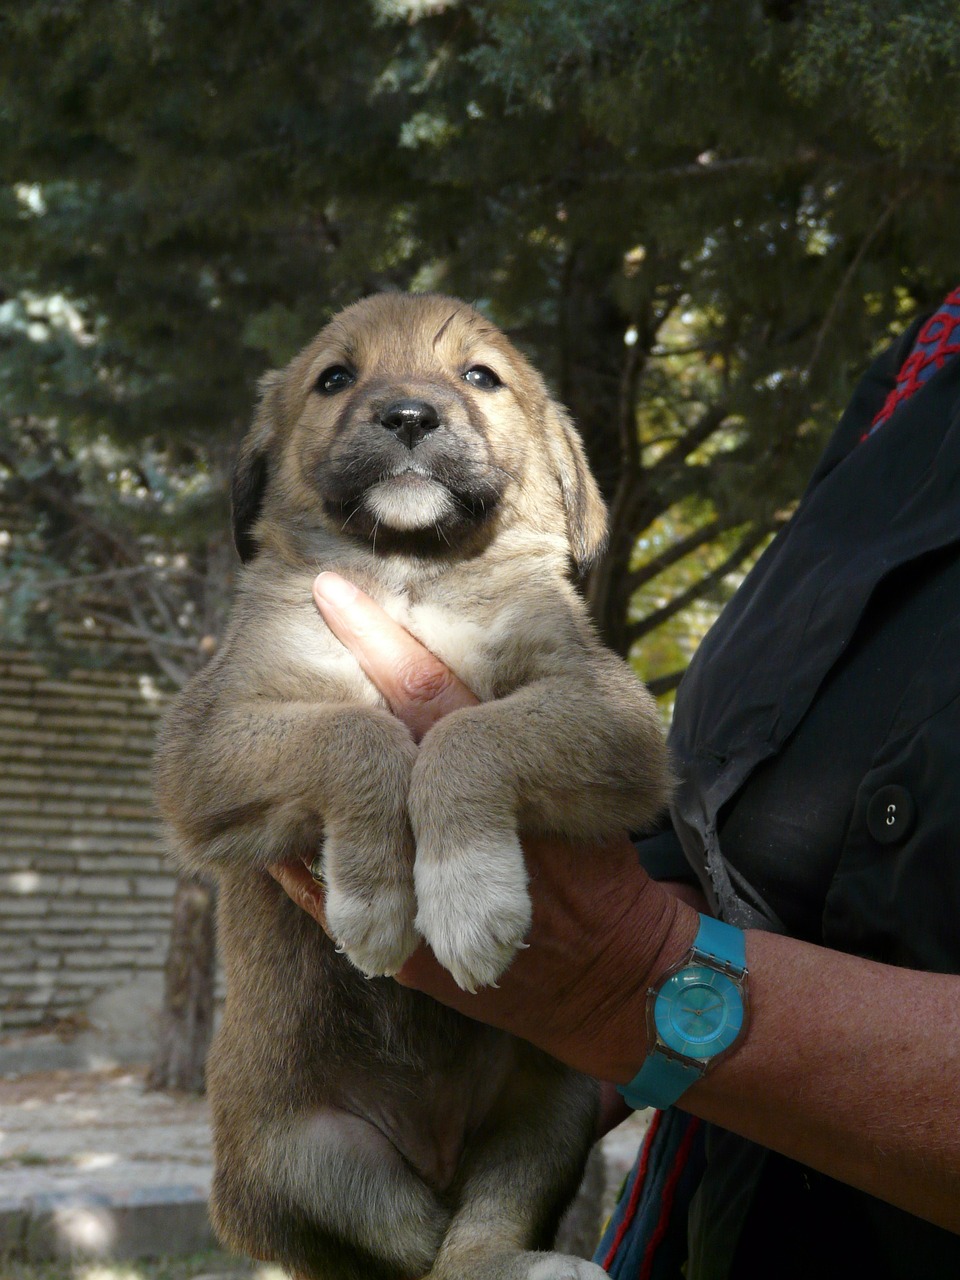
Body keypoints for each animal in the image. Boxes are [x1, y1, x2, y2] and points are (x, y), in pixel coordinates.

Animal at [156, 293, 670, 1280]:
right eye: (335, 378)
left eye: (479, 376)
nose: (406, 416)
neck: (410, 576)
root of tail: (434, 1151)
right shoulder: (205, 749)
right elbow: (360, 732)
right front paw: (377, 898)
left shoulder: (613, 719)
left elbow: (466, 735)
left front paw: (468, 897)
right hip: (303, 1157)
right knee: (408, 1254)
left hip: (548, 1111)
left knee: (471, 1238)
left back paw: (531, 1263)